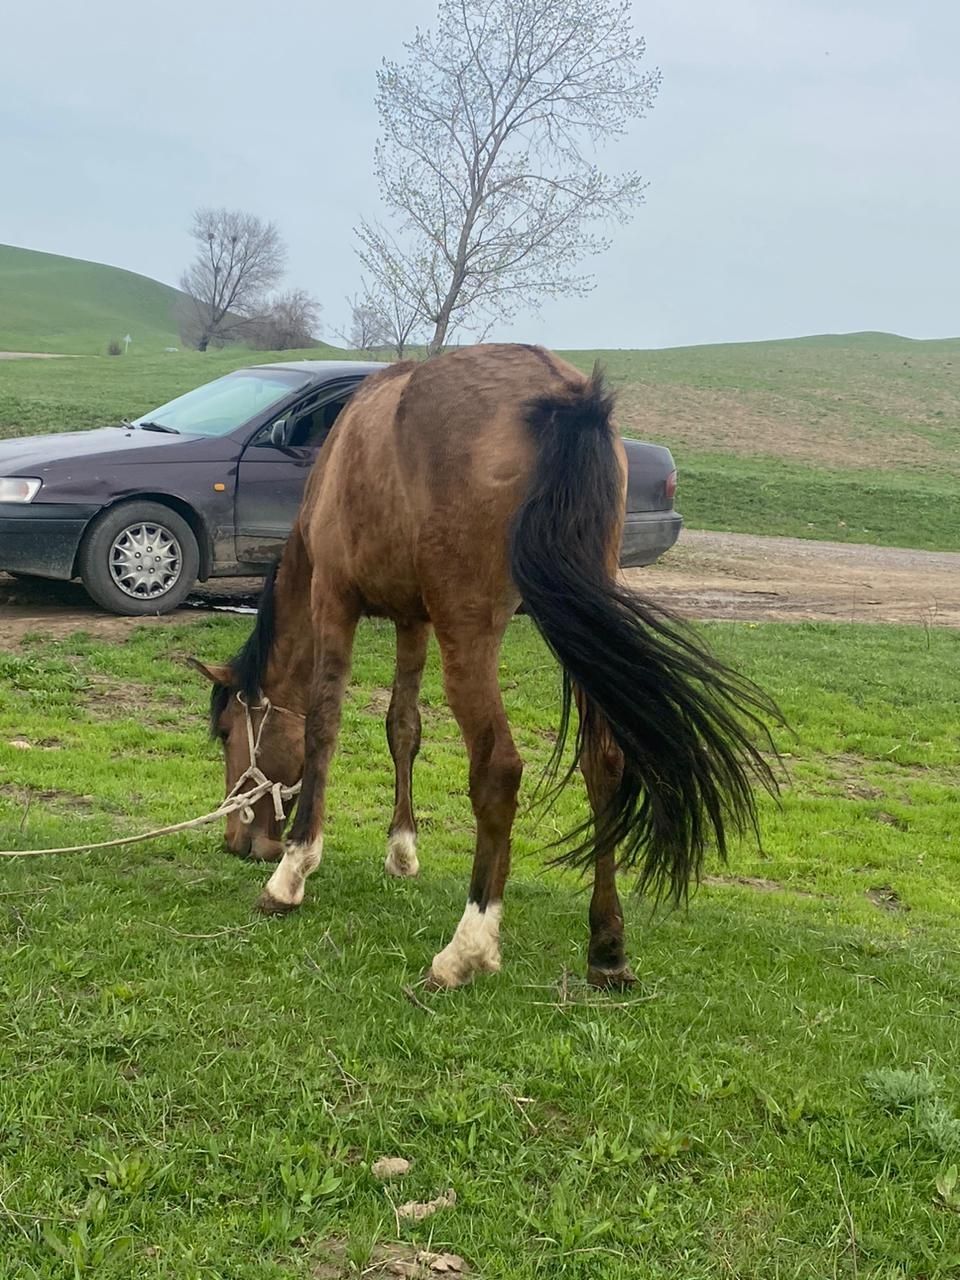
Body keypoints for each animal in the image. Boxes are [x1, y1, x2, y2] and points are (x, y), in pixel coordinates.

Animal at [192, 343, 778, 988]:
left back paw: (467, 947)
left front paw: (293, 873)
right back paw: (606, 945)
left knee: (499, 768)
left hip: (470, 630)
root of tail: (563, 397)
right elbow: (403, 728)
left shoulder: (335, 601)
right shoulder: (412, 620)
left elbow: (324, 727)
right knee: (604, 763)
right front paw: (402, 850)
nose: (236, 841)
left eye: (228, 735)